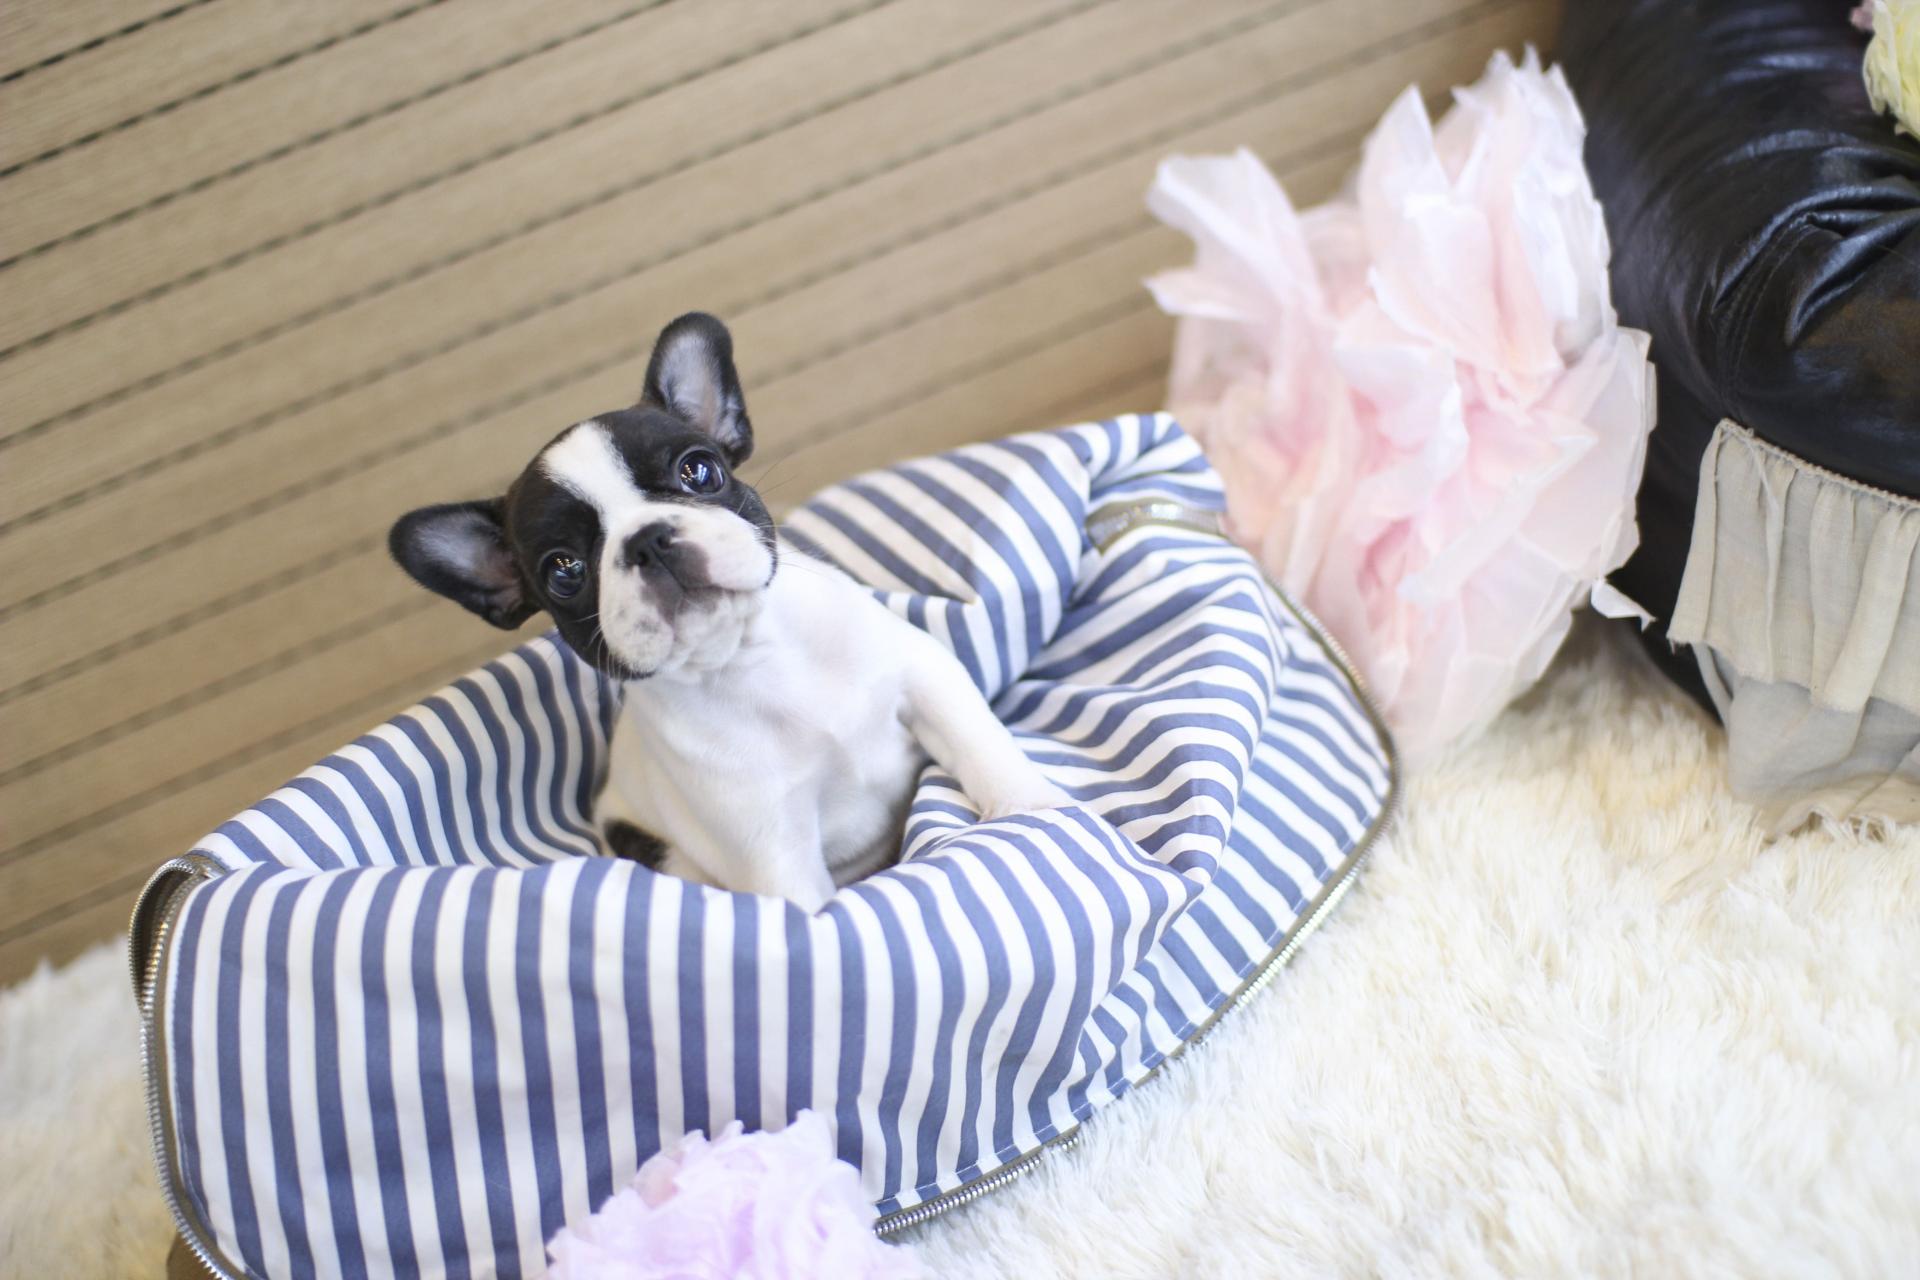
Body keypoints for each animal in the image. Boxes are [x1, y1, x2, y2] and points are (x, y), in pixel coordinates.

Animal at [390, 313, 1065, 909]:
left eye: (700, 470)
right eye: (564, 571)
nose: (647, 540)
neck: (751, 658)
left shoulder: (925, 677)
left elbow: (981, 745)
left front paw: (1030, 810)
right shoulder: (771, 844)